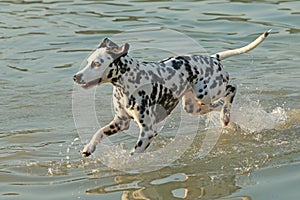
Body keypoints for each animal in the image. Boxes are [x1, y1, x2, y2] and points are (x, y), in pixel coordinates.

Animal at [73, 30, 272, 158]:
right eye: (88, 61)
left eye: (97, 64)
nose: (76, 76)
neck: (128, 81)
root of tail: (214, 58)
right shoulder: (120, 122)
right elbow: (99, 133)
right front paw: (89, 147)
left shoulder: (148, 131)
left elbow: (133, 154)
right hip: (193, 107)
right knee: (221, 104)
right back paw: (227, 119)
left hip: (206, 93)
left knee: (232, 89)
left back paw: (226, 116)